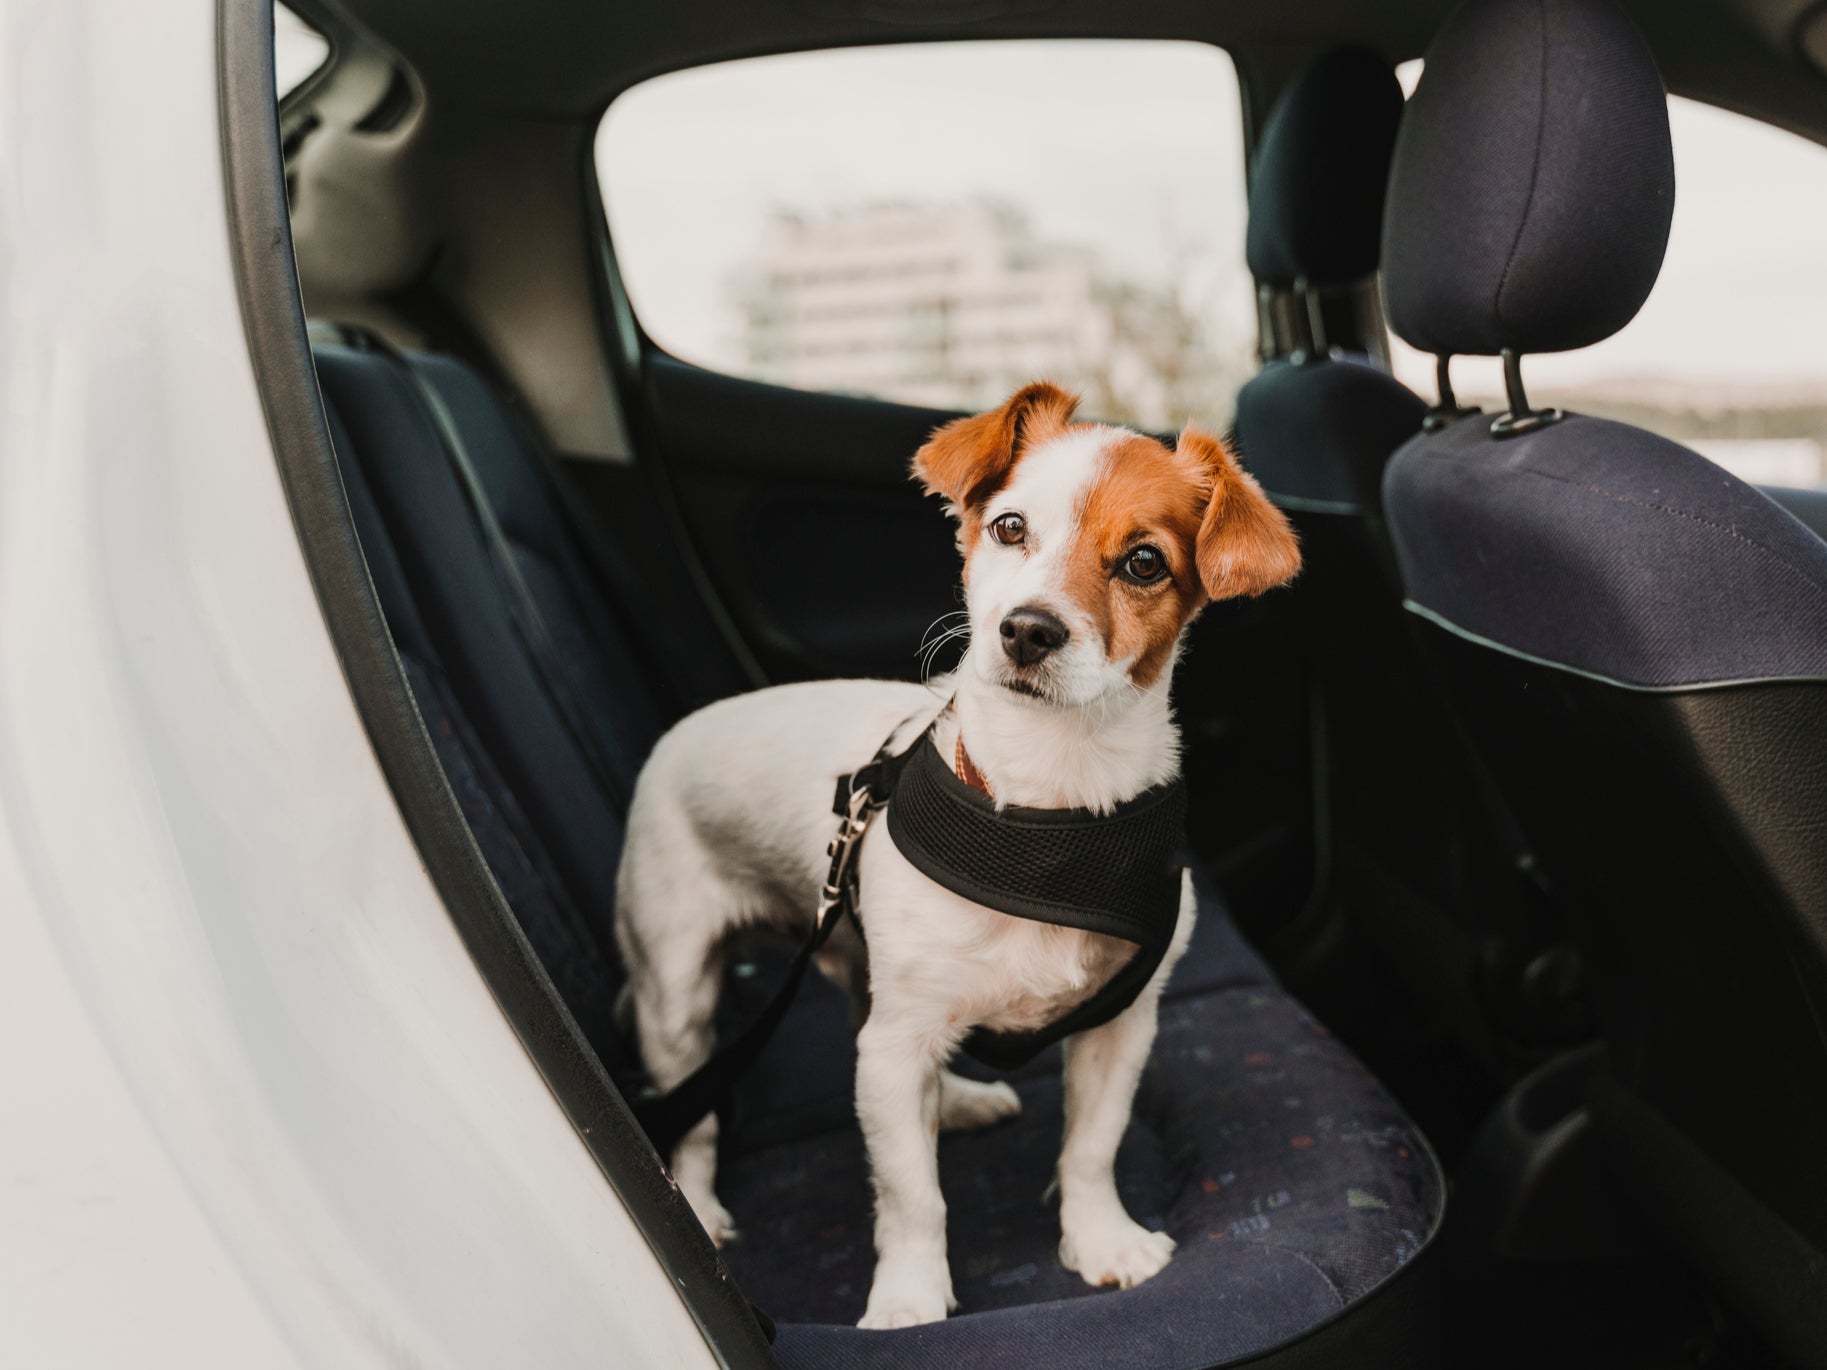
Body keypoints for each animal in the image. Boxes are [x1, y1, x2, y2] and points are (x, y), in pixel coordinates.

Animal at [613, 383, 1300, 1329]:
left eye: (1143, 564)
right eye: (1009, 527)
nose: (1028, 630)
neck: (1045, 811)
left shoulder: (1119, 1026)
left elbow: (1091, 1146)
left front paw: (1100, 1241)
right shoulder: (896, 1045)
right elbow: (912, 1196)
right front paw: (907, 1298)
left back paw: (959, 1102)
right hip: (678, 995)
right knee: (699, 1113)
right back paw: (702, 1205)